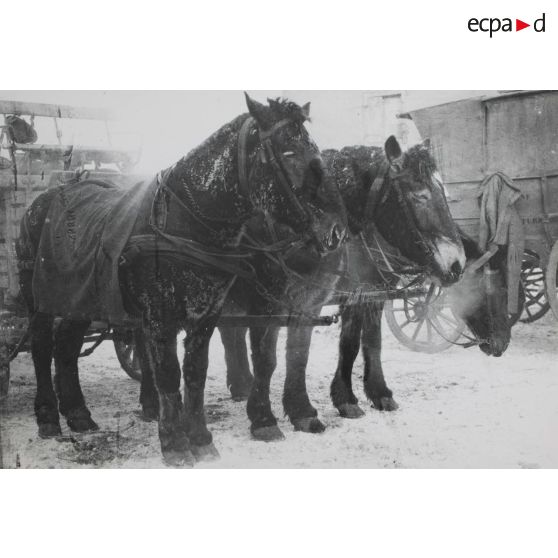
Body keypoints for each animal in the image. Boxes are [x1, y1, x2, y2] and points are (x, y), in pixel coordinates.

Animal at [18, 96, 350, 468]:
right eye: (288, 151)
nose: (336, 230)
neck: (182, 225)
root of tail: (46, 197)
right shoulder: (162, 316)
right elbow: (169, 373)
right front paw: (175, 443)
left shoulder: (207, 315)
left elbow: (196, 371)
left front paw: (202, 439)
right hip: (39, 300)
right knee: (43, 347)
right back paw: (48, 416)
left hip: (81, 299)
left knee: (66, 345)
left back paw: (78, 413)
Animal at [218, 143, 512, 420]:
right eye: (489, 289)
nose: (502, 344)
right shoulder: (339, 297)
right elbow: (338, 345)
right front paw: (346, 399)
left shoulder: (371, 295)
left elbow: (367, 342)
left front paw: (370, 394)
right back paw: (242, 385)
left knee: (232, 332)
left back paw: (241, 383)